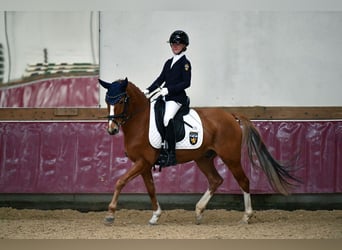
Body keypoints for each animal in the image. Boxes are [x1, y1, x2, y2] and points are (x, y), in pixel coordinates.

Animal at [97, 77, 298, 225]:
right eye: (107, 101)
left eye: (121, 100)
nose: (112, 129)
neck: (140, 121)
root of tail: (231, 115)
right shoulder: (144, 164)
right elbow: (151, 189)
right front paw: (155, 215)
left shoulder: (142, 162)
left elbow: (120, 182)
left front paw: (110, 214)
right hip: (203, 158)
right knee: (216, 180)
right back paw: (199, 211)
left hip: (230, 157)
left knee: (243, 181)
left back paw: (246, 216)